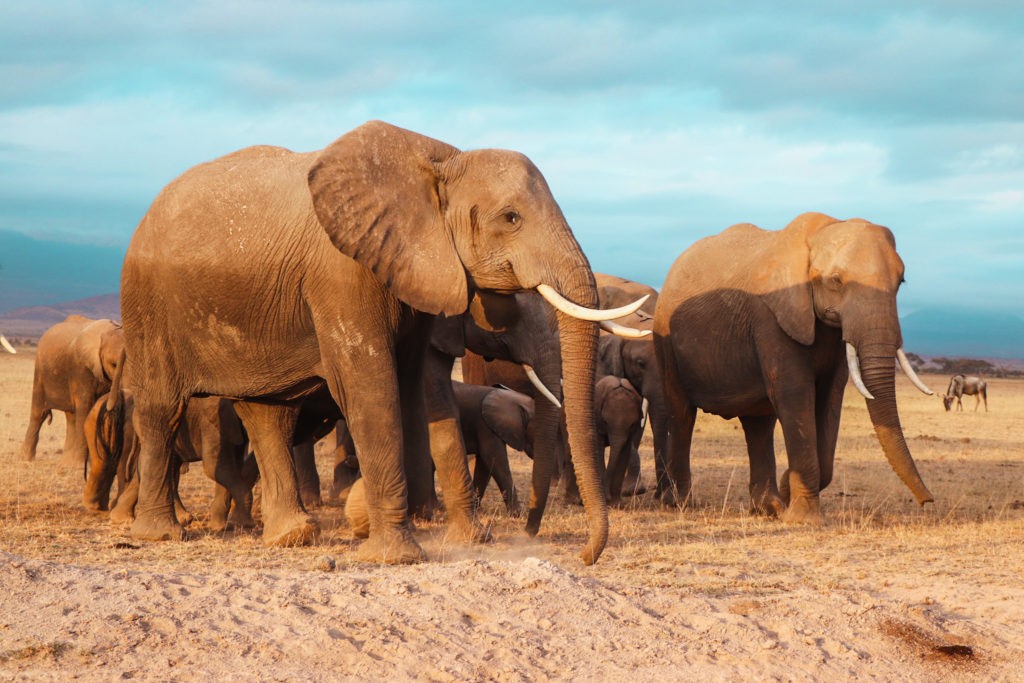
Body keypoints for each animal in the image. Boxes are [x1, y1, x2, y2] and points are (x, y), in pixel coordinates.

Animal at [19, 317, 124, 466]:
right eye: (114, 365)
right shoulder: (81, 369)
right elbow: (85, 408)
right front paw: (79, 465)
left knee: (71, 417)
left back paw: (65, 463)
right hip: (40, 371)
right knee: (39, 413)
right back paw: (25, 459)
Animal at [655, 210, 937, 520]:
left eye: (901, 282)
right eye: (836, 280)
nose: (928, 501)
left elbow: (829, 398)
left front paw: (788, 492)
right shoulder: (773, 316)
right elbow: (794, 395)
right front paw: (804, 519)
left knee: (758, 424)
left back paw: (770, 508)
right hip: (665, 334)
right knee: (682, 413)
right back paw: (679, 504)